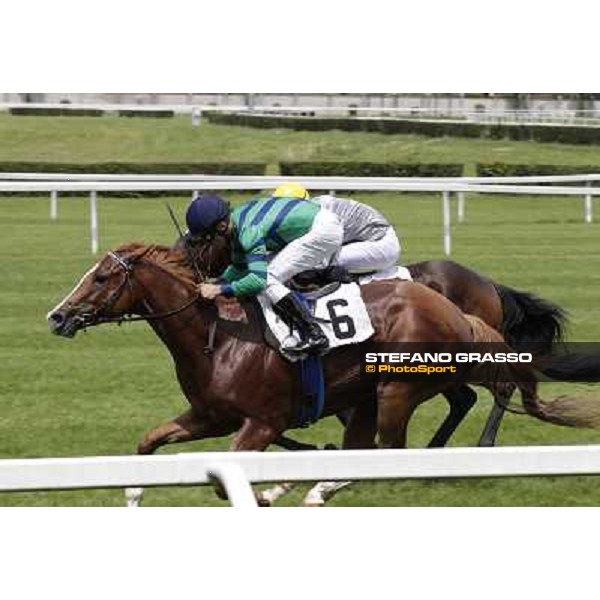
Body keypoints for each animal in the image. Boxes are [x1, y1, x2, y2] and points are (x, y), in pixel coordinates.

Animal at [47, 241, 600, 504]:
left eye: (101, 277)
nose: (57, 315)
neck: (218, 335)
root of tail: (460, 303)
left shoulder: (260, 422)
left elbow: (232, 478)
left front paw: (270, 490)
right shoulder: (209, 417)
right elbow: (147, 444)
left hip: (398, 386)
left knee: (394, 445)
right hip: (378, 393)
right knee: (388, 438)